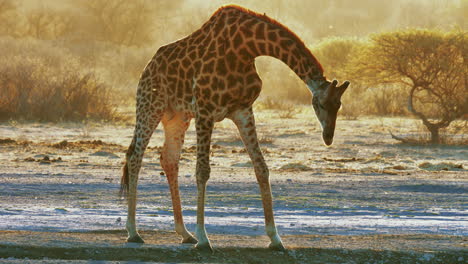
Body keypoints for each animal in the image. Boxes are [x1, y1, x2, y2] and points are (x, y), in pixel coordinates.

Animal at [119, 4, 348, 252]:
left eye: (339, 106)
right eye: (321, 104)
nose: (328, 136)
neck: (247, 49)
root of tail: (147, 66)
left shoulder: (243, 110)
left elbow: (261, 168)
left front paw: (275, 238)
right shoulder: (205, 109)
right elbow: (202, 171)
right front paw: (204, 239)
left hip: (178, 117)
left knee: (169, 159)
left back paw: (184, 233)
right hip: (151, 105)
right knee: (135, 157)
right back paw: (134, 232)